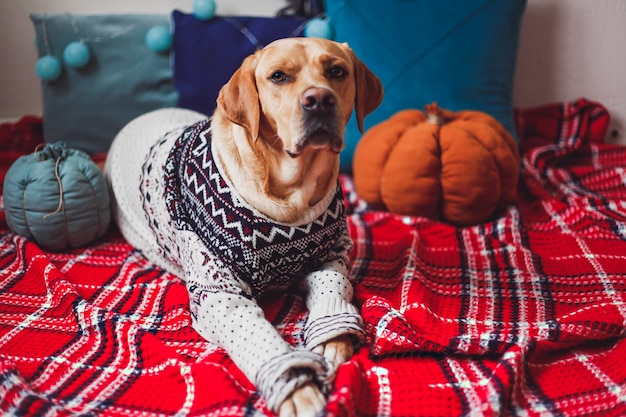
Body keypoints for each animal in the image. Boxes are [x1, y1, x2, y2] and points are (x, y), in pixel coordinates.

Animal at [105, 37, 382, 414]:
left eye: (337, 71)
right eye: (278, 76)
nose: (320, 99)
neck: (289, 203)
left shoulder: (331, 258)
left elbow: (334, 288)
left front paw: (334, 336)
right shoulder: (219, 294)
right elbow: (257, 335)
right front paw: (296, 387)